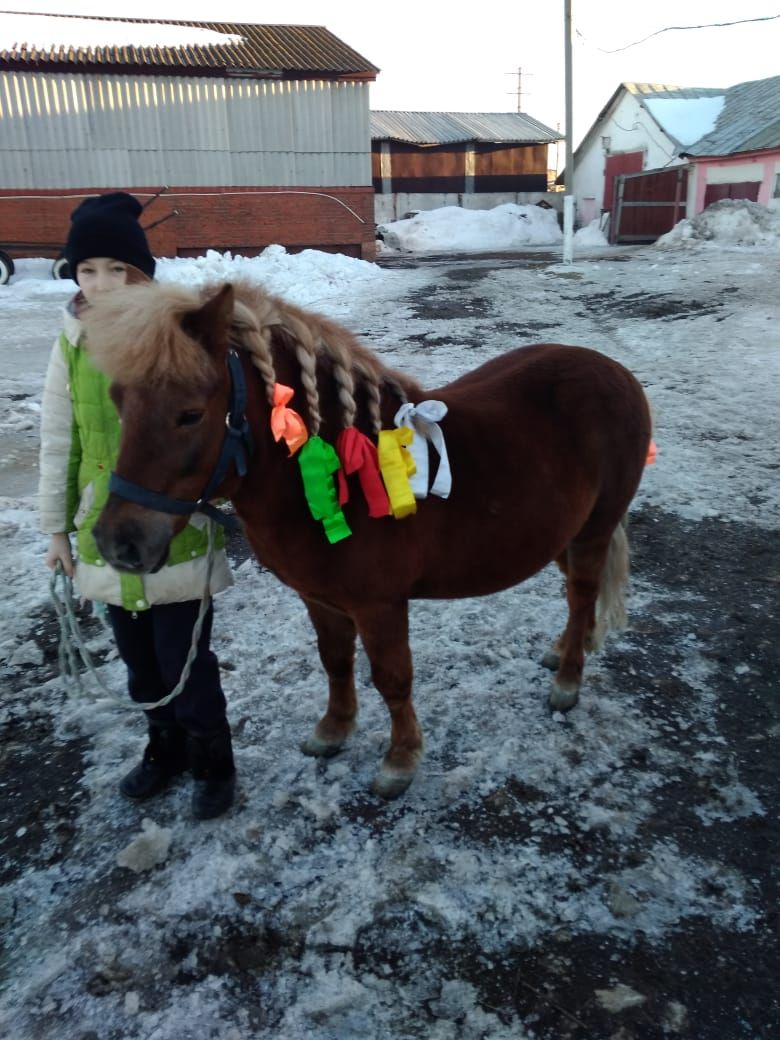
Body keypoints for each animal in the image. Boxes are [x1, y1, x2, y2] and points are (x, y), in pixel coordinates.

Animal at [84, 276, 653, 794]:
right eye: (117, 401)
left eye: (190, 415)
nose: (118, 543)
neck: (338, 478)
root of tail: (614, 372)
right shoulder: (320, 599)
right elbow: (335, 662)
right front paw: (333, 731)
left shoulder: (380, 605)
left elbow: (392, 678)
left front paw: (400, 761)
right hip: (562, 533)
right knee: (577, 594)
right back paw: (564, 651)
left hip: (595, 529)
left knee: (582, 596)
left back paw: (567, 681)